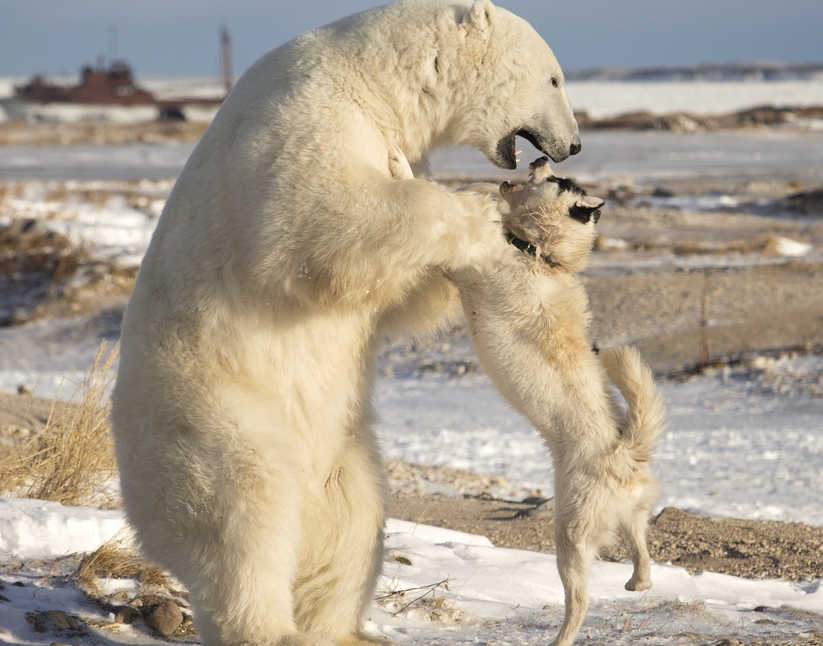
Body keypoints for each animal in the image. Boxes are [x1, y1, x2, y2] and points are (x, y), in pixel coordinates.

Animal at [112, 2, 584, 644]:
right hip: (213, 415)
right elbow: (316, 216)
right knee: (243, 517)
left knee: (353, 521)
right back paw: (269, 624)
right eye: (554, 78)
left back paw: (340, 627)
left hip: (340, 445)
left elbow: (392, 294)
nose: (574, 144)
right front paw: (480, 210)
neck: (376, 78)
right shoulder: (306, 117)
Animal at [390, 153, 668, 646]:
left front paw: (400, 163)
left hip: (570, 536)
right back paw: (637, 581)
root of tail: (624, 452)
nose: (540, 157)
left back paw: (563, 637)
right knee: (641, 546)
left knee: (580, 599)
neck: (541, 255)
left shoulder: (468, 257)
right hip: (631, 515)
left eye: (556, 178)